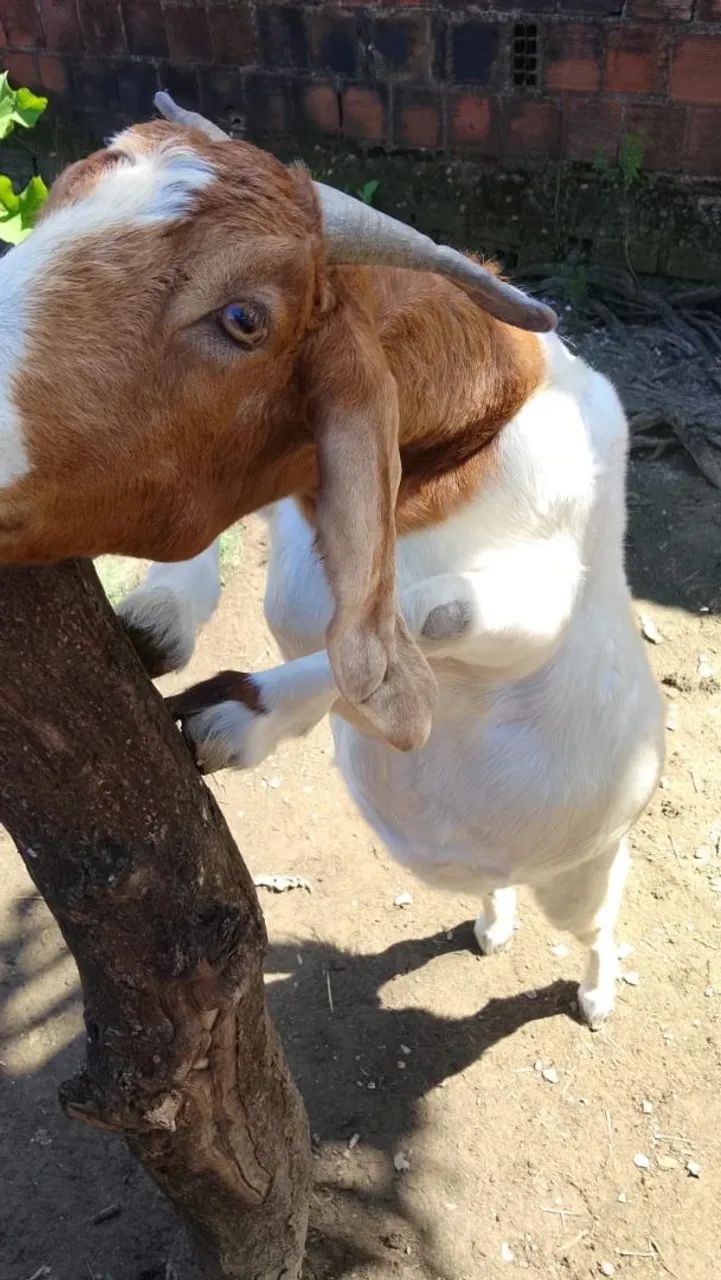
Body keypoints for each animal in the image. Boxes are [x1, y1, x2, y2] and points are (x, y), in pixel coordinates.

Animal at [0, 95, 664, 1027]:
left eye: (244, 318)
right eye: (58, 201)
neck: (463, 447)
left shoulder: (536, 611)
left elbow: (413, 627)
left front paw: (233, 715)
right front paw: (159, 619)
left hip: (584, 870)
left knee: (599, 919)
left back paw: (596, 992)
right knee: (498, 890)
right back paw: (490, 921)